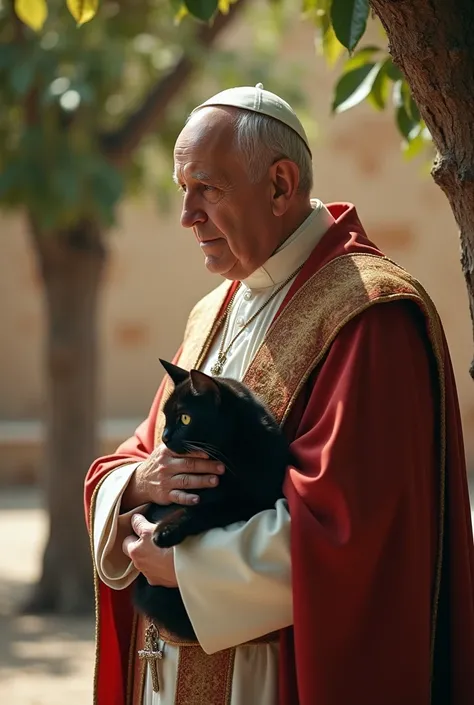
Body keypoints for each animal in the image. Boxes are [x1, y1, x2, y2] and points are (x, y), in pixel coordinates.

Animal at [131, 360, 290, 640]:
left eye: (184, 418)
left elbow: (202, 510)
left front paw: (164, 532)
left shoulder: (252, 502)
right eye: (165, 417)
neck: (231, 452)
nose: (165, 437)